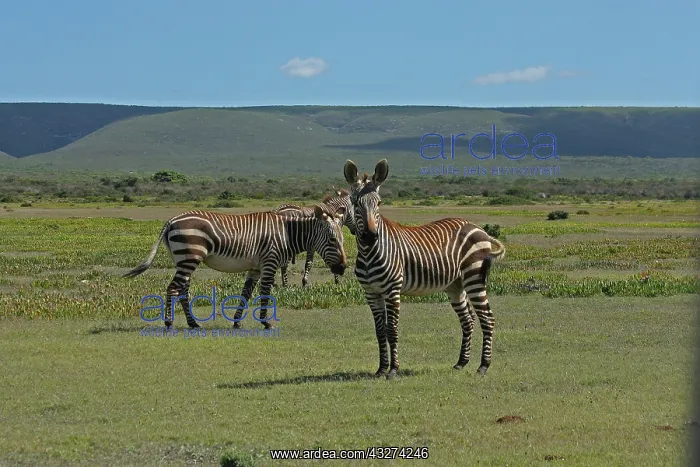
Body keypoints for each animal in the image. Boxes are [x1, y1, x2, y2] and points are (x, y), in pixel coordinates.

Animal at [122, 204, 347, 330]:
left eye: (343, 240)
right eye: (332, 240)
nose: (343, 268)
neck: (286, 233)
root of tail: (170, 221)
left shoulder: (255, 268)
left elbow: (246, 293)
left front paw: (237, 321)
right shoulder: (269, 262)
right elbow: (265, 292)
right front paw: (266, 322)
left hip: (183, 259)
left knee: (183, 290)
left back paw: (193, 323)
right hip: (189, 257)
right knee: (173, 288)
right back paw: (169, 322)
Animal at [342, 159, 506, 379]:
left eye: (379, 203)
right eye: (355, 203)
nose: (370, 236)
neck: (369, 253)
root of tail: (479, 229)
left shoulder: (392, 290)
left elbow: (392, 330)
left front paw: (393, 370)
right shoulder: (371, 293)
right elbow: (380, 331)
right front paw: (381, 369)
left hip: (474, 278)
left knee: (487, 318)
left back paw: (483, 365)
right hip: (456, 285)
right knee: (468, 320)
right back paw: (461, 363)